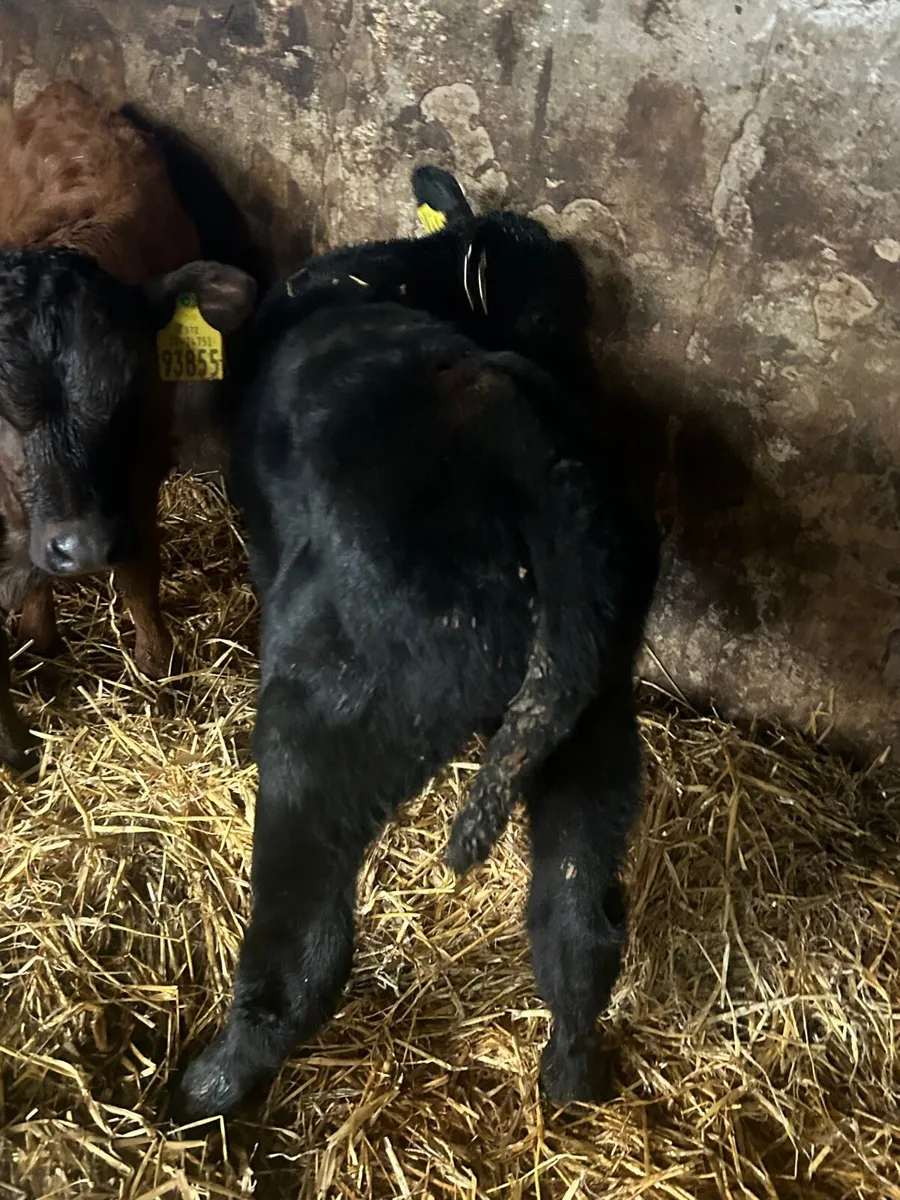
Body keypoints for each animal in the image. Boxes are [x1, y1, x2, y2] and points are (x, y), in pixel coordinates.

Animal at [0, 82, 256, 770]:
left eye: (127, 395)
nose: (83, 545)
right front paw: (37, 650)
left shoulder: (140, 473)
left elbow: (140, 573)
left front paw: (159, 669)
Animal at [176, 169, 660, 1120]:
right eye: (554, 314)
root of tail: (533, 461)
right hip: (596, 717)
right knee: (579, 923)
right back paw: (568, 1081)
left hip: (333, 718)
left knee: (307, 940)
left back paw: (215, 1081)